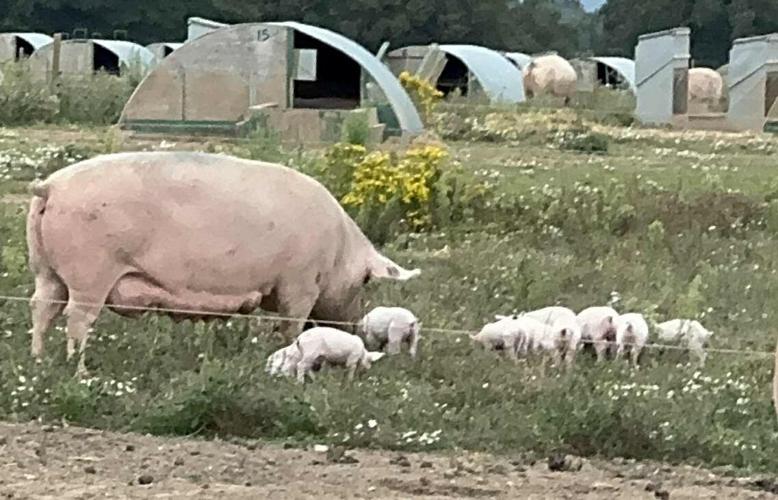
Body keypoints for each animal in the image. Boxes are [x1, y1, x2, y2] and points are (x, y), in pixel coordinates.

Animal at [25, 151, 421, 376]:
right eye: (366, 280)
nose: (354, 324)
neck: (339, 248)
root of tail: (51, 187)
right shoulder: (299, 283)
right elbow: (292, 328)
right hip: (89, 272)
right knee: (77, 318)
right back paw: (78, 369)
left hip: (46, 270)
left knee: (41, 309)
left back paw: (39, 361)